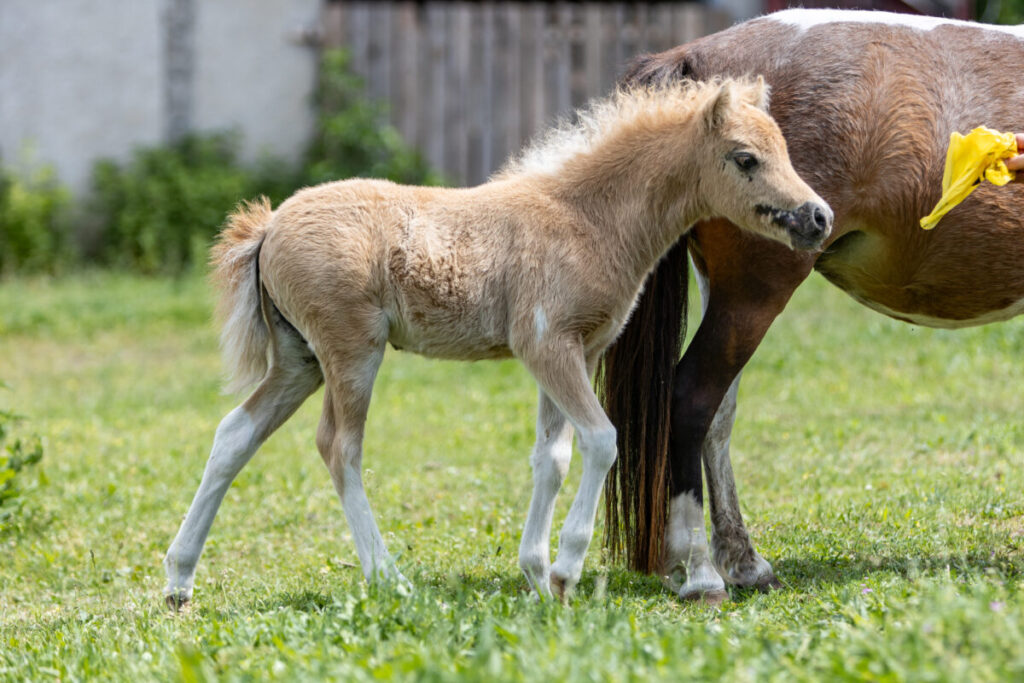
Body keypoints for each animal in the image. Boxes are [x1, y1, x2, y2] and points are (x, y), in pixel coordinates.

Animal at [161, 78, 831, 607]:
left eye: (784, 149)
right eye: (745, 159)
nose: (817, 217)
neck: (585, 216)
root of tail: (268, 226)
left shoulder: (579, 350)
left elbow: (551, 457)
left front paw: (536, 575)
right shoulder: (547, 345)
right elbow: (601, 440)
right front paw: (564, 570)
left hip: (300, 358)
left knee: (235, 433)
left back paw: (178, 580)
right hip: (351, 350)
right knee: (339, 447)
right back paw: (389, 578)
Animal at [599, 9, 1024, 604]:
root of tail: (695, 58)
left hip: (725, 291)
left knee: (717, 416)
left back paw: (744, 563)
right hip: (754, 292)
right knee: (691, 399)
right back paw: (703, 573)